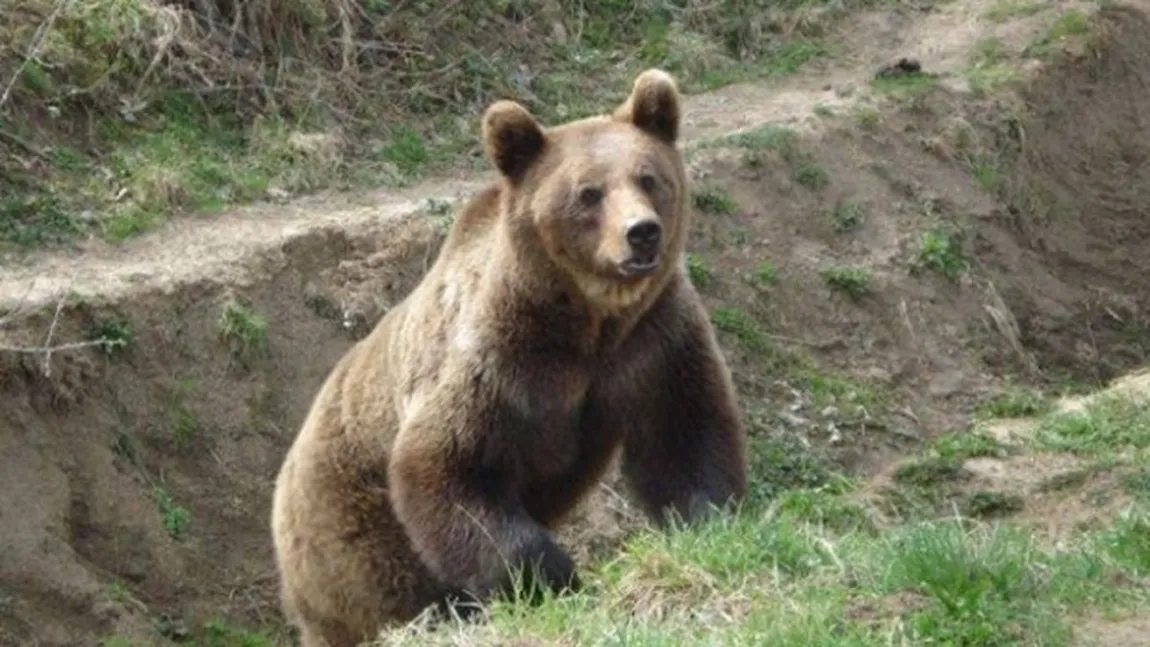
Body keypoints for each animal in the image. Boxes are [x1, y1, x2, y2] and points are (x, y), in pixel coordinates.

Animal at [272, 68, 749, 643]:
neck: (588, 319)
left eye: (649, 177)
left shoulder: (651, 339)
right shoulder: (499, 359)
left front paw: (708, 518)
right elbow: (448, 466)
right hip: (352, 540)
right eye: (588, 193)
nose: (642, 233)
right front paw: (553, 578)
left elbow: (683, 432)